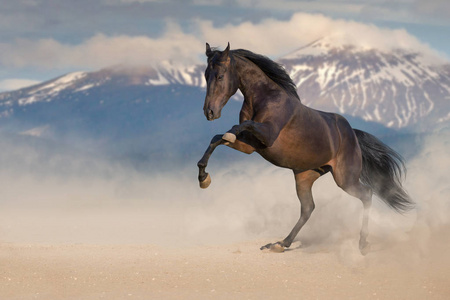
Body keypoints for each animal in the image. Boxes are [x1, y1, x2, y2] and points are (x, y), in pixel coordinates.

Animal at [195, 42, 414, 253]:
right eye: (206, 75)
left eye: (220, 75)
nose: (209, 112)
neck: (265, 98)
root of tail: (352, 134)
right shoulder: (250, 145)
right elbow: (216, 138)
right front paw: (203, 178)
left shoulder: (267, 135)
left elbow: (235, 129)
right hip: (305, 176)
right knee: (308, 208)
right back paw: (280, 244)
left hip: (345, 179)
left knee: (366, 195)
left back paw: (362, 244)